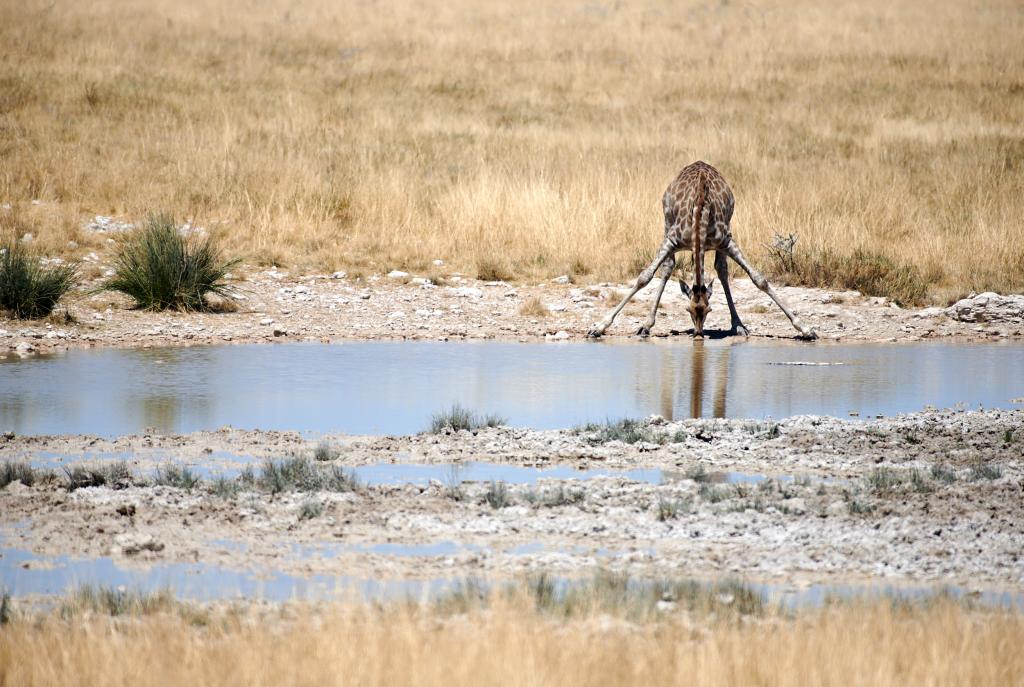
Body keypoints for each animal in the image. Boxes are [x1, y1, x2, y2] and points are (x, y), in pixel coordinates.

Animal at [593, 161, 815, 344]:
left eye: (709, 309)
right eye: (687, 309)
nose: (698, 334)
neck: (700, 211)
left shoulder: (727, 241)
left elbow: (759, 279)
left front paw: (806, 329)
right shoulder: (671, 240)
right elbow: (644, 278)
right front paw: (598, 327)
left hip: (726, 229)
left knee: (722, 270)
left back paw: (738, 325)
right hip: (666, 222)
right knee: (668, 267)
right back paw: (646, 325)